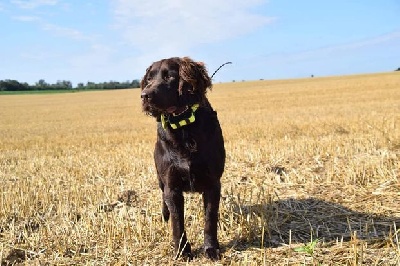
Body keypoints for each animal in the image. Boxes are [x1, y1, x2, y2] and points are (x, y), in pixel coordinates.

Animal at [141, 56, 225, 260]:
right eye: (149, 78)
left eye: (169, 76)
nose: (144, 95)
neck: (183, 125)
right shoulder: (172, 187)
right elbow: (177, 223)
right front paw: (182, 251)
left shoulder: (213, 183)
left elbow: (210, 218)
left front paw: (211, 248)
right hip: (160, 179)